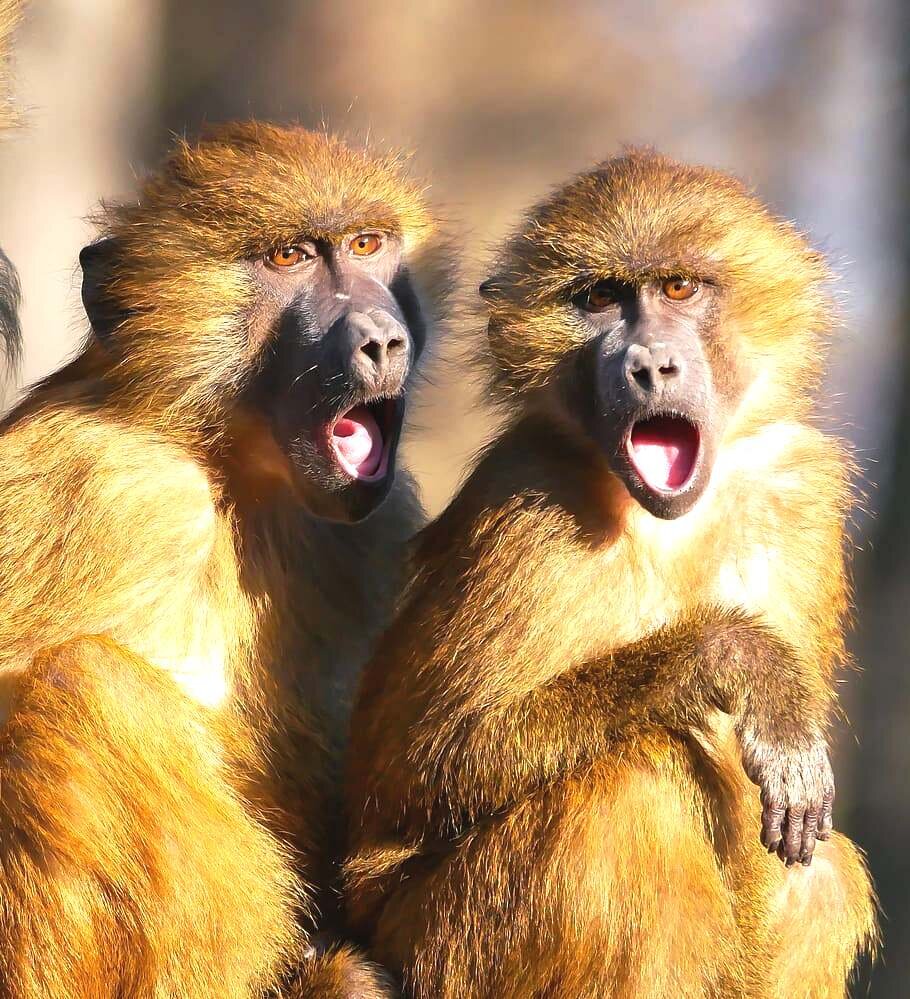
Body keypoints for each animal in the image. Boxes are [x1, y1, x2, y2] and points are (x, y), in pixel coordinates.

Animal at [0, 122, 450, 997]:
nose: (383, 340)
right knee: (84, 688)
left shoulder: (374, 524)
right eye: (289, 258)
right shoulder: (111, 482)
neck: (225, 468)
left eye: (366, 244)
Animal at [344, 151, 877, 998]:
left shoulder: (799, 490)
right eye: (599, 299)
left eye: (679, 288)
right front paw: (741, 662)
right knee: (624, 797)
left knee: (817, 874)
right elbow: (425, 762)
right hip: (439, 941)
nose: (649, 364)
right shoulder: (528, 505)